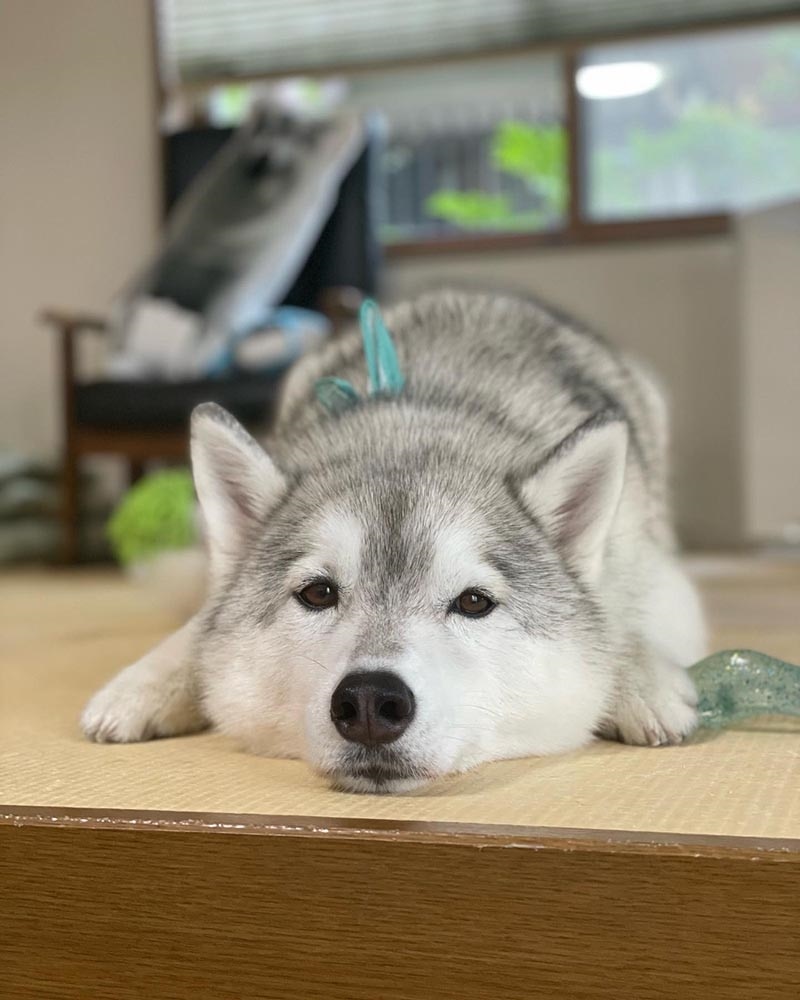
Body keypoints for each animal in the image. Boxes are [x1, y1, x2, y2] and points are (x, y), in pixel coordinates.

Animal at [83, 292, 708, 792]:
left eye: (473, 602)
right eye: (318, 593)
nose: (367, 701)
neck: (412, 425)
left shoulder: (658, 578)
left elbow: (623, 619)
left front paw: (641, 681)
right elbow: (197, 632)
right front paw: (146, 684)